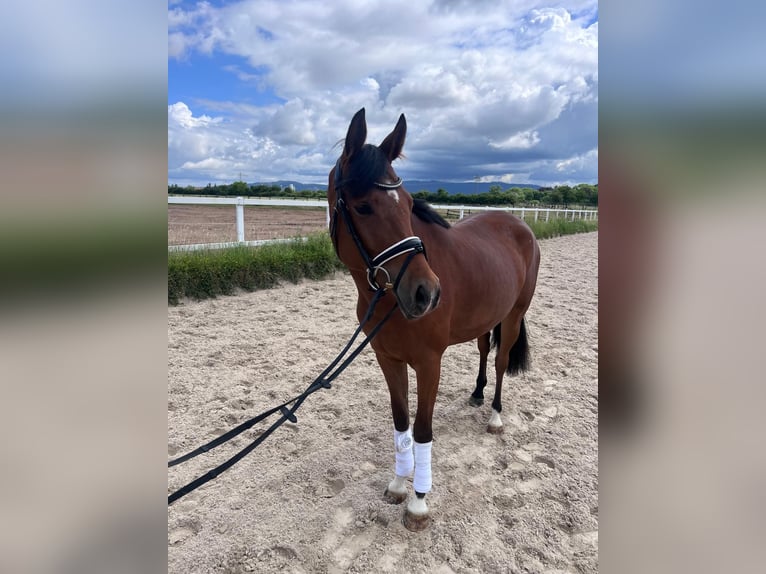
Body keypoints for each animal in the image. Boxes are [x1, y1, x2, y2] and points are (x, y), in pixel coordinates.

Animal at [328, 108, 540, 531]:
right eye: (362, 206)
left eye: (408, 203)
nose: (426, 293)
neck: (387, 299)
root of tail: (520, 224)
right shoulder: (388, 360)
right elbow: (401, 422)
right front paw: (397, 485)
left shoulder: (429, 363)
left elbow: (423, 430)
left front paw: (419, 503)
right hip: (486, 318)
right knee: (483, 350)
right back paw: (477, 394)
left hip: (513, 315)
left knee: (500, 360)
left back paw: (495, 416)